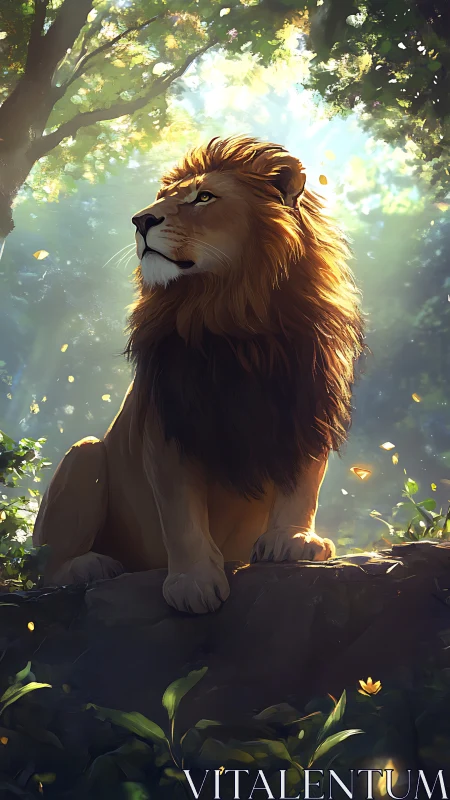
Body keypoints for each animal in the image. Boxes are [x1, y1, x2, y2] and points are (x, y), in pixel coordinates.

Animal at [33, 135, 365, 614]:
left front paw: (293, 541)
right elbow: (181, 515)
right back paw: (93, 566)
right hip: (84, 455)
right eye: (162, 199)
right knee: (46, 565)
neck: (235, 320)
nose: (139, 220)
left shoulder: (306, 408)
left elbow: (303, 486)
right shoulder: (167, 426)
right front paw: (192, 583)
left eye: (203, 197)